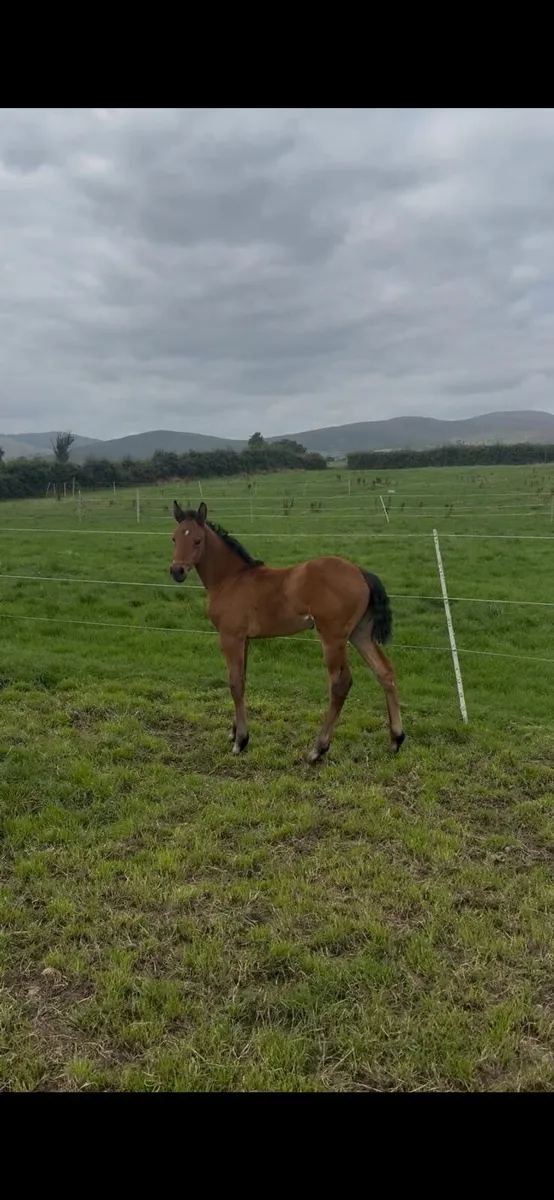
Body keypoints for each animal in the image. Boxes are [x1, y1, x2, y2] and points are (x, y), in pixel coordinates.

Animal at [170, 501, 405, 763]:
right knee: (384, 672)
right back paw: (396, 739)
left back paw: (318, 749)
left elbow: (235, 684)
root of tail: (361, 573)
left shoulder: (231, 637)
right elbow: (242, 678)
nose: (177, 571)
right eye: (174, 538)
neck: (231, 579)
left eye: (197, 540)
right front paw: (234, 733)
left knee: (340, 684)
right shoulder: (245, 640)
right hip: (359, 633)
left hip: (332, 637)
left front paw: (241, 741)